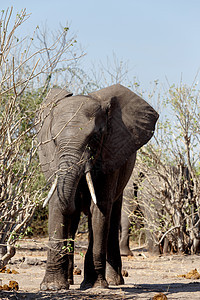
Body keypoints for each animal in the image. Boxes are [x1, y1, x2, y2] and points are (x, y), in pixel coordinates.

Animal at [36, 83, 157, 290]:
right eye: (54, 140)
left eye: (95, 137)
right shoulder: (51, 159)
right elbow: (56, 203)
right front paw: (52, 287)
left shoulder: (110, 153)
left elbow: (99, 208)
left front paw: (95, 286)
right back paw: (70, 281)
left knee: (112, 217)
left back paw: (114, 281)